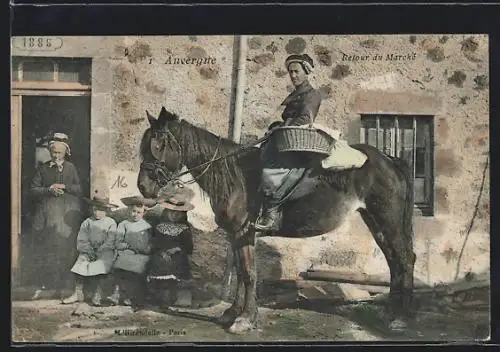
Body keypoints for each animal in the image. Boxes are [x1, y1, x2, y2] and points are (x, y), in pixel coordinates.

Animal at [137, 106, 418, 332]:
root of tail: (390, 160)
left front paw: (245, 319)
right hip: (376, 222)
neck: (235, 176)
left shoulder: (244, 233)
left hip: (388, 220)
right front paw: (232, 313)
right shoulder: (237, 236)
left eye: (158, 144)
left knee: (404, 260)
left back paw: (400, 318)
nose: (143, 187)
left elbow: (249, 274)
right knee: (394, 262)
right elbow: (240, 273)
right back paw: (391, 313)